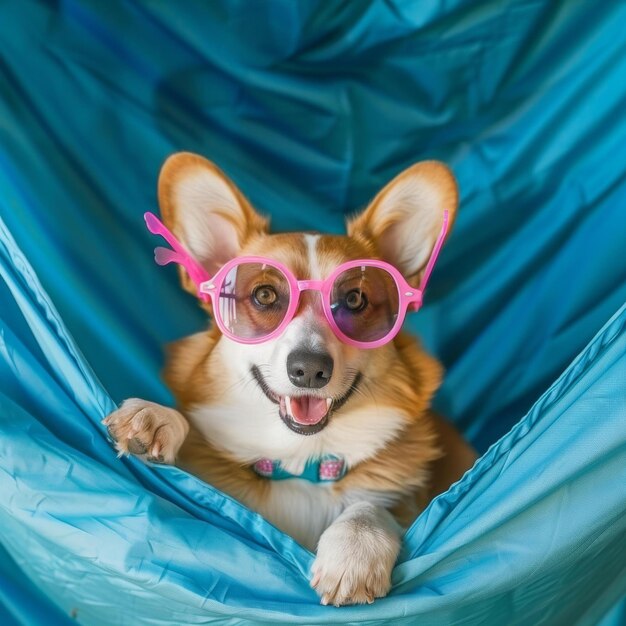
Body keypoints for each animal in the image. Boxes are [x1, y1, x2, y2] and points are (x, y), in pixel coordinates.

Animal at [103, 151, 472, 604]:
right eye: (264, 295)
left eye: (354, 299)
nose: (309, 368)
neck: (300, 461)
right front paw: (154, 418)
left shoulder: (405, 500)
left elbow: (370, 507)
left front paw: (355, 550)